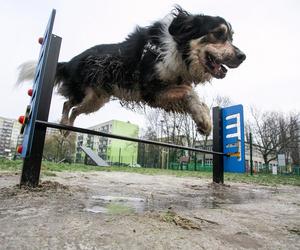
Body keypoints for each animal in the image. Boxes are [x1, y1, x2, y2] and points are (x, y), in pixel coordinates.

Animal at [17, 6, 245, 135]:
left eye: (231, 37)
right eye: (218, 34)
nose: (243, 56)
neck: (177, 49)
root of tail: (69, 61)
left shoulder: (166, 91)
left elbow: (193, 97)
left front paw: (203, 120)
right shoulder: (150, 90)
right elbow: (190, 92)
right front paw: (204, 119)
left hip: (96, 100)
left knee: (74, 109)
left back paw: (68, 129)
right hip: (84, 93)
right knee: (67, 104)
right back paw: (64, 125)